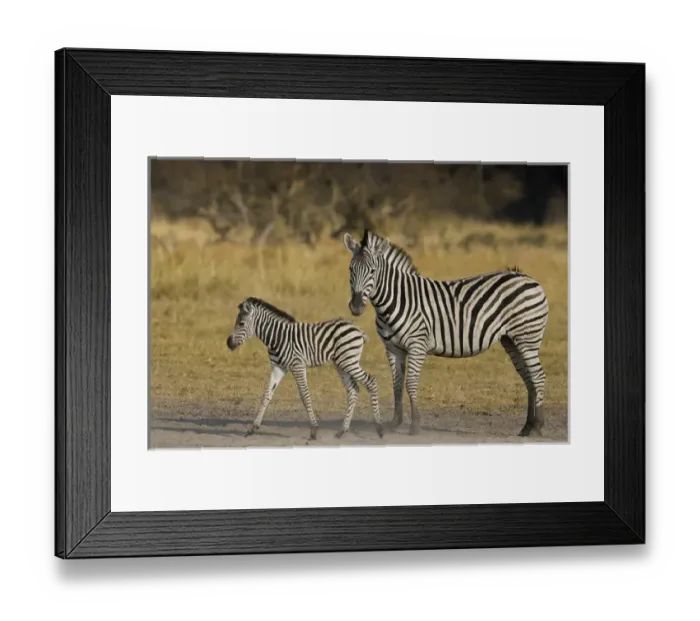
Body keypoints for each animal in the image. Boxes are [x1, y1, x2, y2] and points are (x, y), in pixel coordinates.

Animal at [226, 296, 383, 441]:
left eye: (241, 323)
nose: (228, 343)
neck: (277, 337)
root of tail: (356, 328)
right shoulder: (278, 368)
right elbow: (267, 394)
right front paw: (253, 428)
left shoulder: (298, 366)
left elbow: (304, 395)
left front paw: (313, 430)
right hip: (342, 363)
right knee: (353, 390)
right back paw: (342, 431)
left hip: (349, 361)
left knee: (371, 381)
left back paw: (379, 428)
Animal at [343, 229, 549, 438]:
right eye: (351, 270)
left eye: (372, 271)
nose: (356, 306)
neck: (397, 299)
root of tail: (526, 277)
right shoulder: (393, 348)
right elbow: (397, 384)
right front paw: (394, 423)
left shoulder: (417, 345)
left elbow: (411, 383)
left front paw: (415, 425)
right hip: (511, 340)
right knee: (528, 379)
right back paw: (527, 427)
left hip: (527, 338)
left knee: (538, 377)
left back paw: (538, 425)